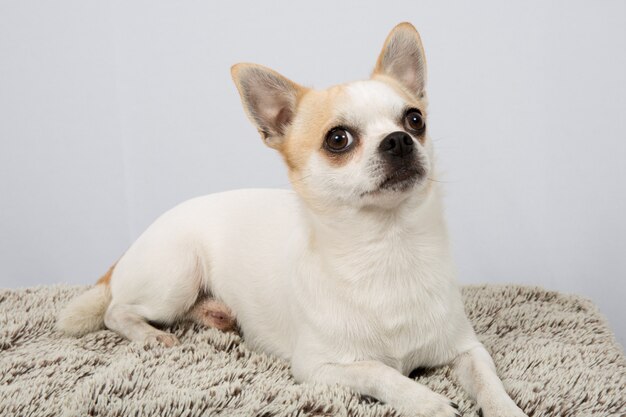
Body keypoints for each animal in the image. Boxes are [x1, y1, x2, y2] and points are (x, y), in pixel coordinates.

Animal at [57, 22, 528, 416]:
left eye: (415, 120)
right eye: (338, 139)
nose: (399, 140)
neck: (388, 249)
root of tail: (131, 248)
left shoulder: (467, 349)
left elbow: (489, 382)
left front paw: (506, 410)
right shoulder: (319, 369)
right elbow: (384, 372)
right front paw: (429, 403)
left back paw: (214, 315)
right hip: (175, 275)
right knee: (116, 311)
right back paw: (151, 334)